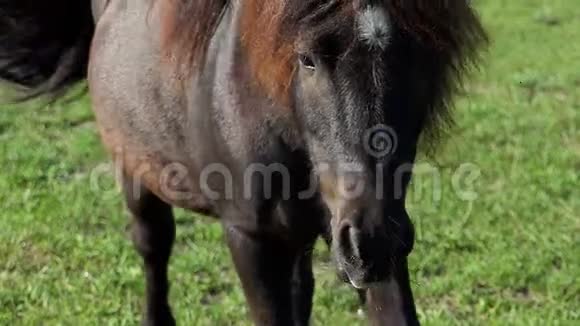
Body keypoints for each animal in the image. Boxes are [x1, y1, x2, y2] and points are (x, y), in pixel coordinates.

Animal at [2, 1, 488, 324]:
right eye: (307, 59)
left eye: (421, 52)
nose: (372, 240)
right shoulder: (249, 236)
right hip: (136, 172)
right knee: (153, 247)